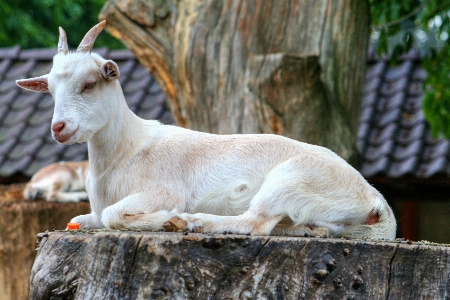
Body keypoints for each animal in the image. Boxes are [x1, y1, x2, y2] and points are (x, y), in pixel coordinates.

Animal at [14, 21, 398, 239]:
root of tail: (375, 199)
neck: (128, 149)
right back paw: (307, 228)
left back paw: (189, 222)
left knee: (254, 222)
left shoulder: (161, 189)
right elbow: (78, 221)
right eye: (50, 91)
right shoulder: (92, 211)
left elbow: (113, 216)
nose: (59, 128)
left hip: (292, 179)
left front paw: (168, 218)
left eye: (90, 84)